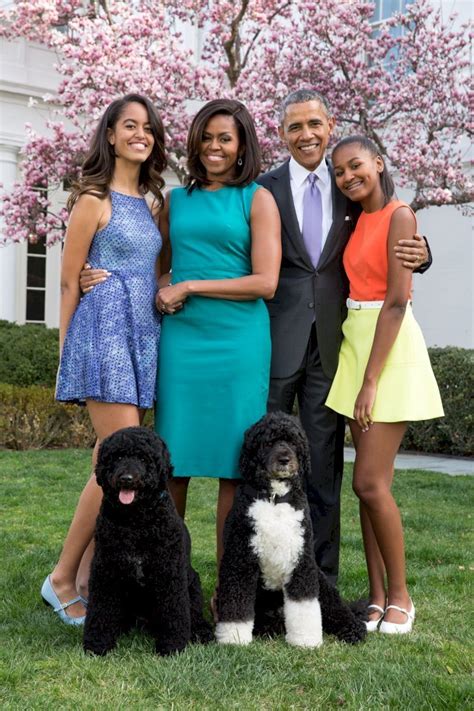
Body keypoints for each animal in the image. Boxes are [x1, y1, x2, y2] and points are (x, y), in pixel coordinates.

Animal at [83, 428, 213, 656]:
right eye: (117, 457)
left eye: (143, 458)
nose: (126, 478)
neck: (136, 522)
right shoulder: (105, 570)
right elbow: (100, 610)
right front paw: (97, 643)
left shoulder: (169, 572)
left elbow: (174, 613)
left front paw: (172, 645)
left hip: (193, 584)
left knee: (194, 615)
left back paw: (202, 632)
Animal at [215, 412, 366, 652]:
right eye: (269, 442)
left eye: (294, 442)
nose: (285, 460)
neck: (275, 499)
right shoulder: (240, 559)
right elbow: (236, 604)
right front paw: (234, 638)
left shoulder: (301, 561)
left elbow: (304, 605)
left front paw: (306, 639)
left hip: (322, 583)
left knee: (338, 609)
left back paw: (353, 629)